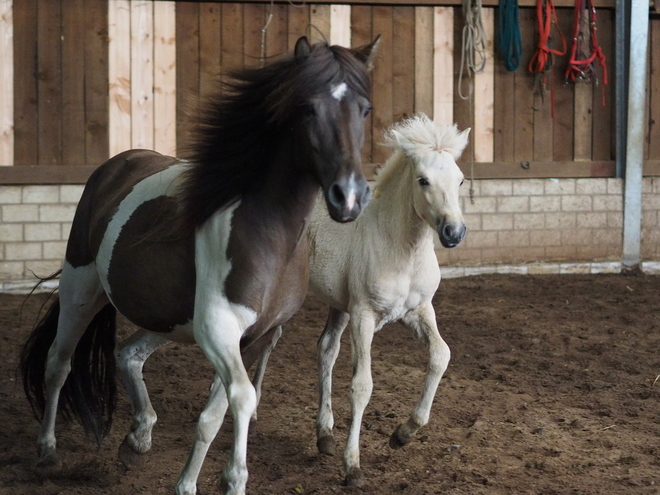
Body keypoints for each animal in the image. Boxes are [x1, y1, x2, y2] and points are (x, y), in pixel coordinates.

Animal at [19, 35, 376, 495]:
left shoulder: (253, 337)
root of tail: (115, 166)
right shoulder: (219, 329)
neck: (268, 233)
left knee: (127, 354)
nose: (348, 197)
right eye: (308, 108)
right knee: (58, 364)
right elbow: (240, 400)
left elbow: (216, 413)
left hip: (168, 321)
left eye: (364, 110)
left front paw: (196, 479)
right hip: (81, 292)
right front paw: (225, 480)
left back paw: (138, 439)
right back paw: (48, 451)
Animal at [253, 115, 470, 488]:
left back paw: (324, 435)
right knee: (265, 341)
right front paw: (352, 466)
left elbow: (441, 356)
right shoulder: (364, 316)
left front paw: (402, 434)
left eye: (459, 178)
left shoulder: (418, 311)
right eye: (423, 180)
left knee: (324, 349)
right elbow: (362, 385)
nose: (454, 233)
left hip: (337, 306)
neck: (402, 248)